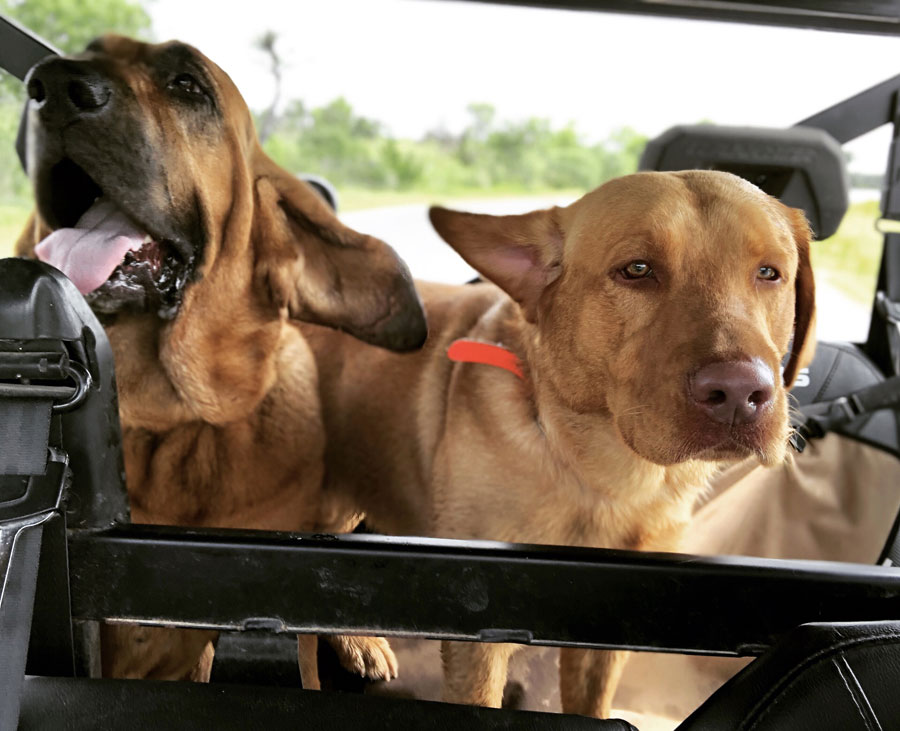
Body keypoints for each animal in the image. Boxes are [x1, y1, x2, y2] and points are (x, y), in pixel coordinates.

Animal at [304, 172, 816, 720]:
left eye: (769, 273)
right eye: (637, 270)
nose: (740, 393)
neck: (604, 480)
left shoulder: (610, 634)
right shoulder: (477, 639)